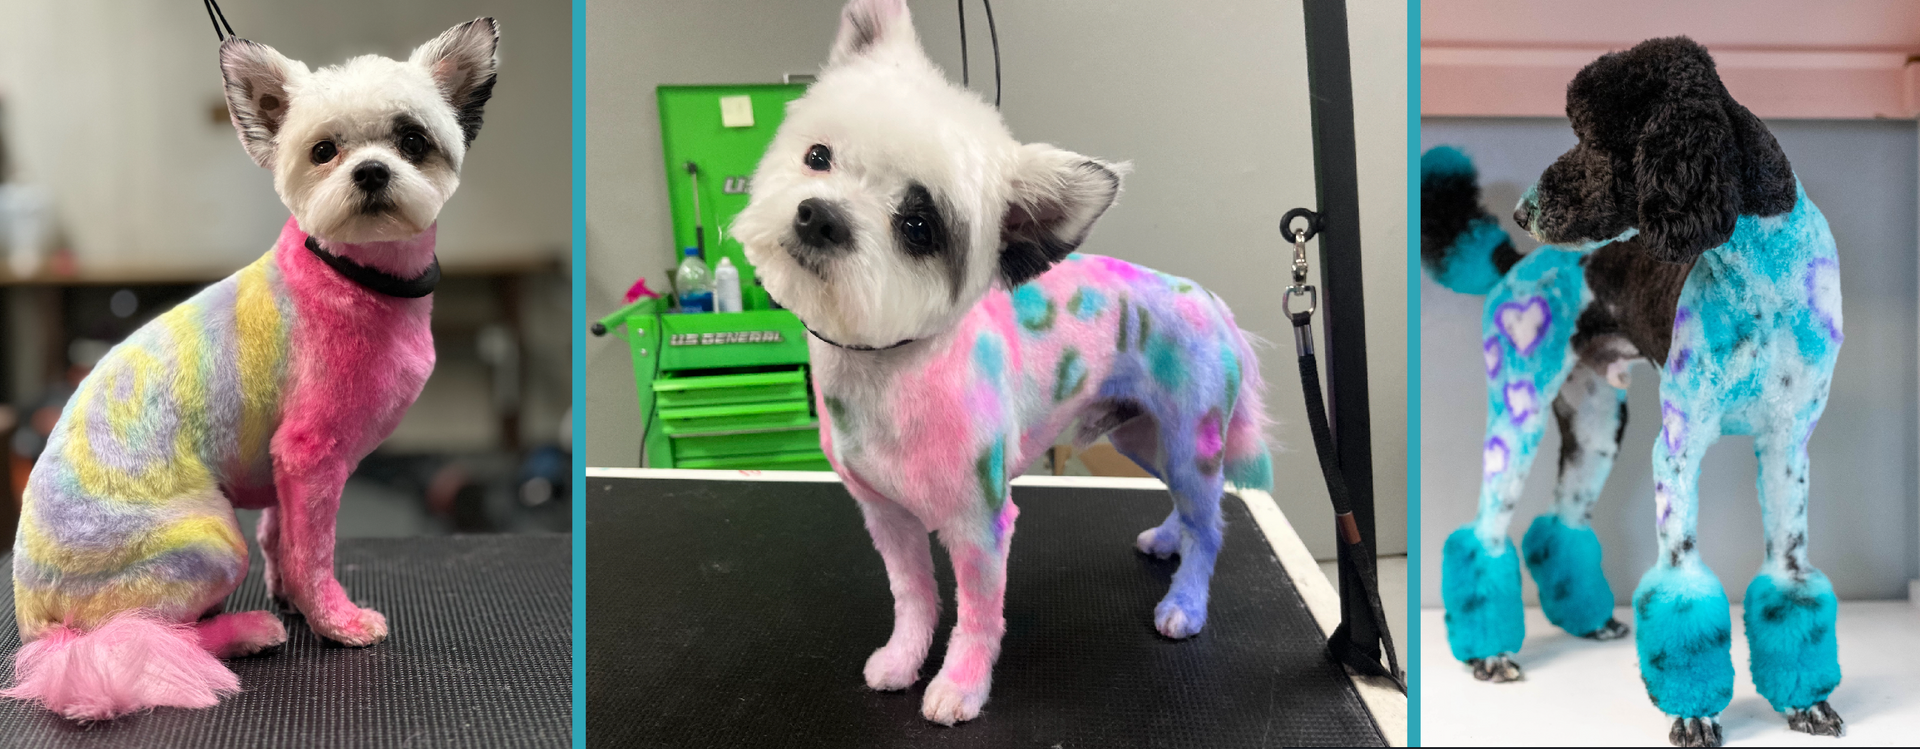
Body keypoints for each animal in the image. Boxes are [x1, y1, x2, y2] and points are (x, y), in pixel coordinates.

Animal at [3, 20, 499, 718]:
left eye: (412, 140)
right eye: (323, 151)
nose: (372, 171)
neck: (354, 275)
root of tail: (35, 625)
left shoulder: (283, 466)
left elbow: (281, 537)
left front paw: (291, 595)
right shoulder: (311, 456)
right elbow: (313, 551)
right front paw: (335, 622)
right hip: (208, 541)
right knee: (152, 632)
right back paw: (243, 631)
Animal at [733, 0, 1274, 729]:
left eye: (919, 226)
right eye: (817, 156)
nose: (819, 216)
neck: (887, 369)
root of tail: (1213, 303)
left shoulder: (979, 524)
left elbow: (977, 617)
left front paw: (960, 685)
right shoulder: (886, 516)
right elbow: (914, 596)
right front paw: (903, 658)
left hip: (1193, 439)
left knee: (1212, 526)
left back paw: (1185, 601)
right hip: (1141, 437)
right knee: (1192, 511)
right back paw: (1170, 539)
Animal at [1428, 36, 1843, 749]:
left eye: (1594, 138)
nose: (1523, 211)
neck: (1763, 284)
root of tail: (1516, 263)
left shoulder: (1788, 448)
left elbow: (1789, 574)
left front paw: (1805, 701)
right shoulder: (1678, 449)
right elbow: (1679, 584)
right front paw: (1694, 711)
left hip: (1596, 426)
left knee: (1559, 524)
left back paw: (1587, 619)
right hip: (1518, 411)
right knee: (1484, 532)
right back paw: (1489, 652)